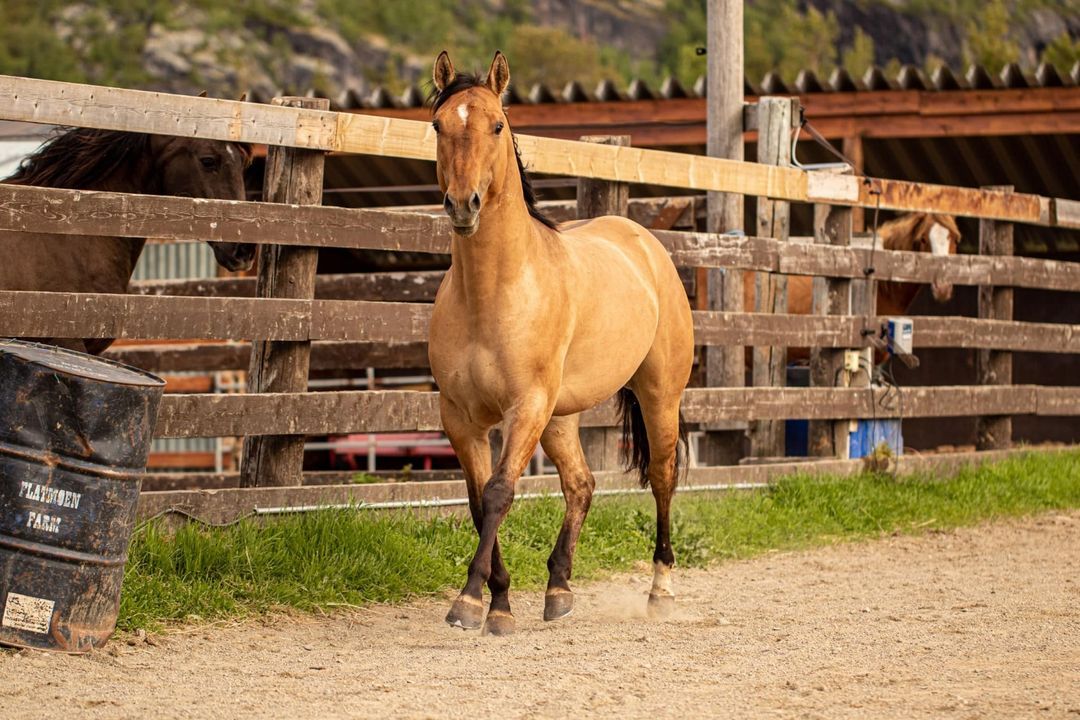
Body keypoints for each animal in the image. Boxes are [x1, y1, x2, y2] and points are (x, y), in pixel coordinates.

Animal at [427, 51, 695, 636]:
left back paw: (661, 591)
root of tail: (643, 242)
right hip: (561, 417)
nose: (463, 205)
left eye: (497, 126)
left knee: (662, 478)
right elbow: (479, 503)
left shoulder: (524, 407)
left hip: (658, 396)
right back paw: (559, 589)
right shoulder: (460, 417)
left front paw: (469, 602)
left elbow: (499, 493)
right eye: (437, 125)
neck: (494, 292)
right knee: (581, 484)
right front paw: (500, 603)